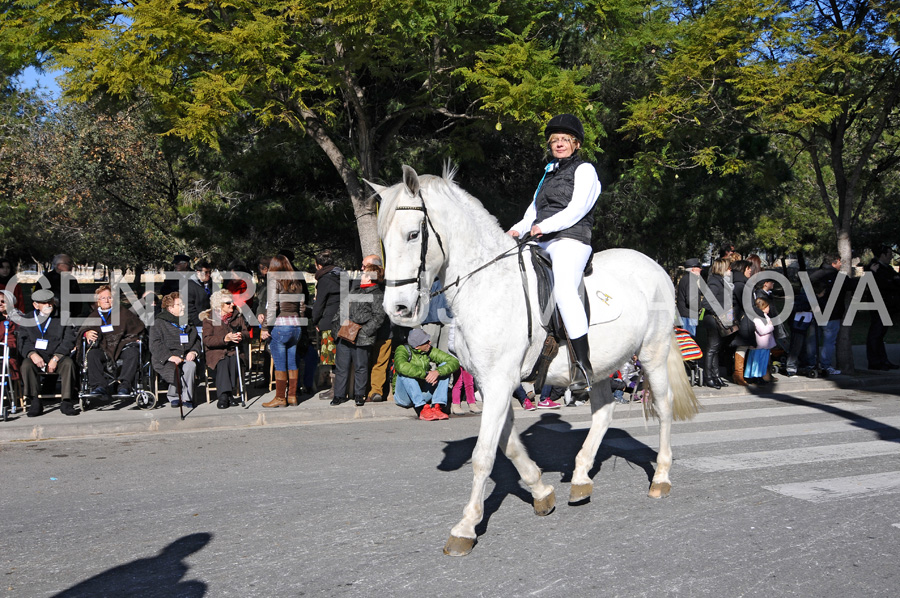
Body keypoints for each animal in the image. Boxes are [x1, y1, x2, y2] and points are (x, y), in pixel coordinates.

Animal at [370, 165, 700, 556]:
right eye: (383, 239)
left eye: (413, 234)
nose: (397, 309)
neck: (487, 284)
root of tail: (654, 266)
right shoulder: (491, 383)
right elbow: (509, 445)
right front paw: (541, 492)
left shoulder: (499, 381)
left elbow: (484, 454)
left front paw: (466, 527)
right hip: (600, 367)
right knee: (603, 413)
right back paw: (580, 479)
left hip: (653, 353)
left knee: (663, 408)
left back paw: (661, 478)